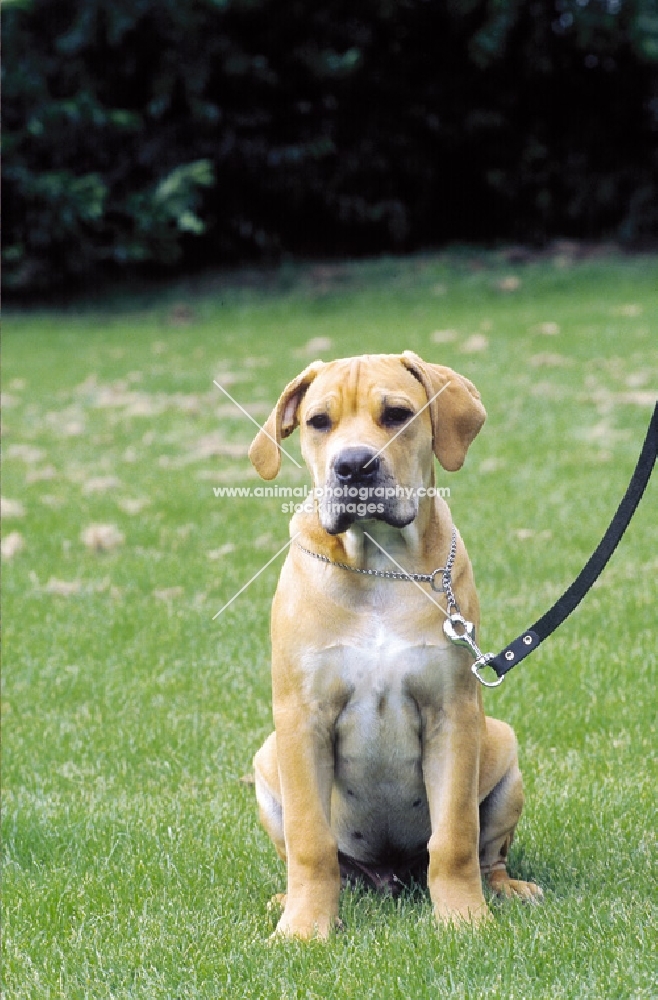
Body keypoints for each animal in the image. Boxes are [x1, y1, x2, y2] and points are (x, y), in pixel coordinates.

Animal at [247, 352, 540, 936]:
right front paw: (304, 929)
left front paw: (464, 920)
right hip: (268, 759)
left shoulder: (452, 713)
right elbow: (311, 843)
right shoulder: (301, 717)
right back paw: (285, 899)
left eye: (398, 414)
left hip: (502, 749)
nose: (354, 467)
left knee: (488, 853)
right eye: (318, 422)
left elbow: (454, 837)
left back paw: (506, 888)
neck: (380, 565)